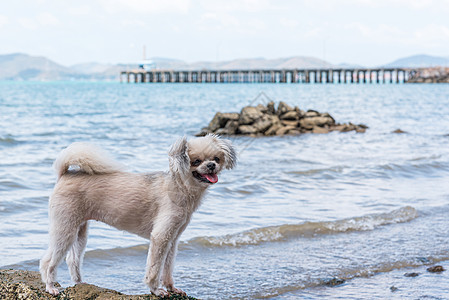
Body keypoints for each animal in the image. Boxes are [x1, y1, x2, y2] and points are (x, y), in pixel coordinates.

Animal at [37, 135, 238, 296]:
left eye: (216, 158)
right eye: (196, 161)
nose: (211, 165)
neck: (179, 187)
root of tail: (65, 174)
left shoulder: (172, 240)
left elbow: (167, 267)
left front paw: (171, 287)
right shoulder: (160, 237)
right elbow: (155, 268)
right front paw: (155, 290)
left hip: (79, 231)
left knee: (73, 259)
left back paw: (80, 283)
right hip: (64, 229)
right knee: (47, 261)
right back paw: (50, 287)